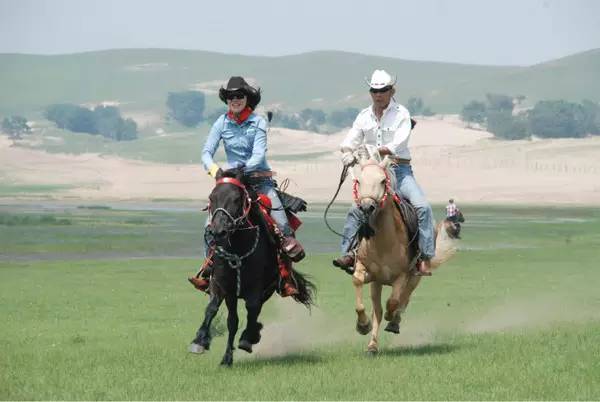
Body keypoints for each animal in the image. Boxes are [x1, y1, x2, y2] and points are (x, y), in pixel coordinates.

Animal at [190, 166, 316, 364]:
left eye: (236, 198)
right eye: (211, 197)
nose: (218, 232)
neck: (238, 249)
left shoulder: (256, 289)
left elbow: (252, 310)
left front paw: (248, 338)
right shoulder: (221, 285)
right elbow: (213, 309)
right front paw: (200, 341)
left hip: (268, 289)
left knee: (254, 312)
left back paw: (251, 336)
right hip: (233, 296)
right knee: (233, 321)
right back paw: (228, 356)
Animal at [350, 148, 452, 354]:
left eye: (383, 180)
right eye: (359, 181)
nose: (366, 207)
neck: (383, 242)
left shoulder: (403, 276)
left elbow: (394, 302)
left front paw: (392, 318)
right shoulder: (368, 272)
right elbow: (359, 287)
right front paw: (362, 325)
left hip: (415, 276)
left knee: (404, 299)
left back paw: (394, 322)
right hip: (377, 284)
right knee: (378, 311)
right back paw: (372, 346)